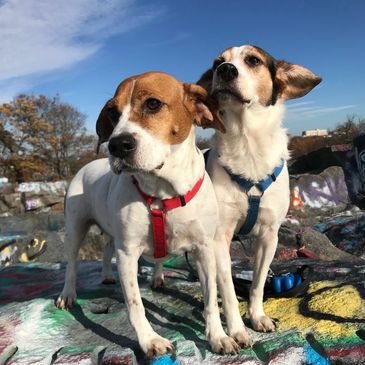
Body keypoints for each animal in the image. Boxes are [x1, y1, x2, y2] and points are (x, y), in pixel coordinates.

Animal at [54, 72, 242, 354]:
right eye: (112, 112)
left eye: (153, 104)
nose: (117, 146)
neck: (164, 192)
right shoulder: (128, 252)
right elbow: (135, 305)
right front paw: (149, 340)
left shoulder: (205, 249)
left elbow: (210, 298)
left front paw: (218, 336)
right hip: (76, 229)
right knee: (72, 265)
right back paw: (68, 294)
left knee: (108, 249)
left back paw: (123, 276)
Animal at [198, 44, 320, 342]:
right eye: (217, 63)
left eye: (253, 60)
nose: (225, 70)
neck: (247, 141)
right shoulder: (220, 239)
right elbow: (229, 291)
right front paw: (237, 330)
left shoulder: (268, 237)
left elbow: (258, 283)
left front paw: (257, 317)